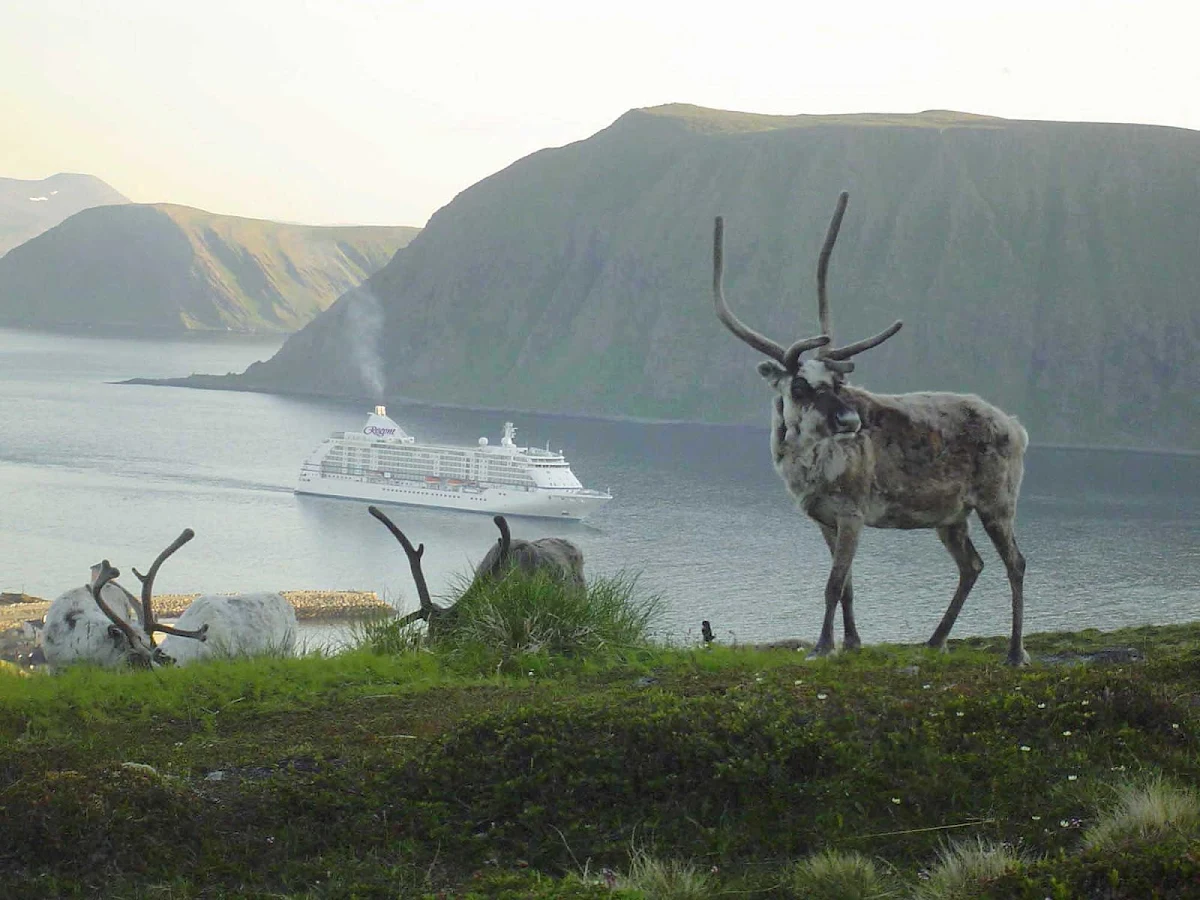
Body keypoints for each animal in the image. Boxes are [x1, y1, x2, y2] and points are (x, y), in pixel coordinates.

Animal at [711, 192, 1030, 666]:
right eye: (800, 385)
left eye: (838, 382)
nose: (849, 420)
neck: (804, 467)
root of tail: (1016, 426)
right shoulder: (824, 519)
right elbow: (847, 586)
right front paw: (852, 642)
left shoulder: (852, 514)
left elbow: (832, 585)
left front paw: (823, 647)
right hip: (952, 516)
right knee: (972, 565)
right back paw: (935, 640)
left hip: (997, 503)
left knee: (1016, 563)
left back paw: (1014, 652)